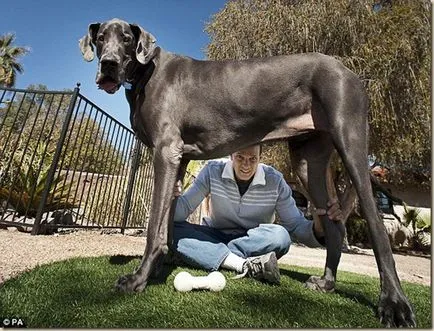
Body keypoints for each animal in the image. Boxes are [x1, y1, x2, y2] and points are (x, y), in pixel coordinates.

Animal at [80, 18, 418, 330]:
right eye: (100, 38)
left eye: (126, 38)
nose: (108, 65)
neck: (145, 73)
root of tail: (347, 69)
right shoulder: (179, 158)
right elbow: (169, 222)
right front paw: (164, 265)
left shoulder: (166, 151)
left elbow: (154, 228)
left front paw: (138, 279)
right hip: (307, 160)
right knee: (334, 226)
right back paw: (326, 283)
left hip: (350, 140)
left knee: (376, 225)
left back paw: (394, 304)